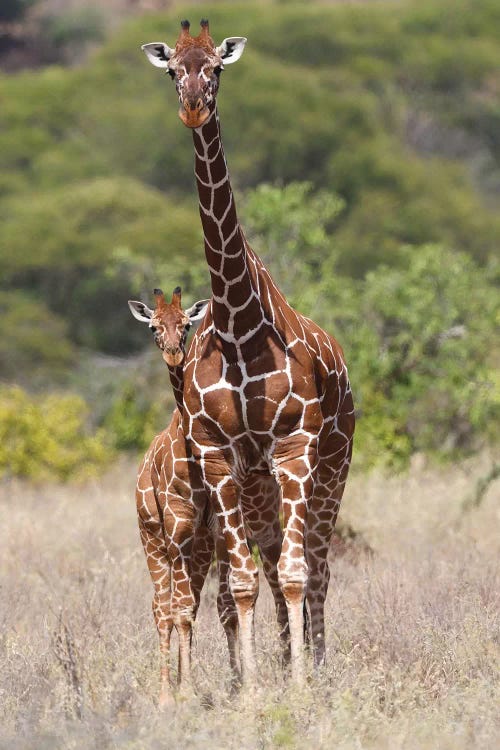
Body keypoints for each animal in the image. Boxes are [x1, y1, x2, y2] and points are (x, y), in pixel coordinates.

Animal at [141, 20, 356, 684]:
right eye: (172, 69)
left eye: (216, 68)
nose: (193, 106)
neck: (238, 325)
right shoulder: (219, 459)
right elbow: (241, 585)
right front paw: (256, 691)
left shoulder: (294, 448)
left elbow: (295, 574)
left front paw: (302, 689)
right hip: (261, 486)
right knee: (270, 564)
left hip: (331, 466)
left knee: (317, 566)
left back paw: (315, 668)